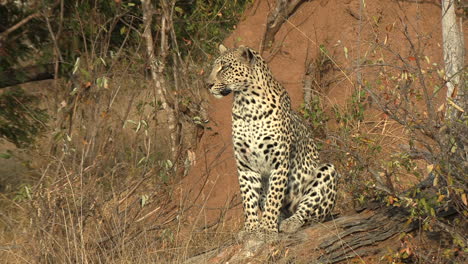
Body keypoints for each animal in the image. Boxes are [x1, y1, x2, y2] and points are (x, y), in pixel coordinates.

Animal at [206, 44, 336, 240]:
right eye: (215, 67)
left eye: (225, 67)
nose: (208, 84)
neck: (247, 105)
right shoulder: (246, 165)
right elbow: (248, 200)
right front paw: (251, 229)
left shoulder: (279, 162)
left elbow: (274, 197)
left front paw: (267, 229)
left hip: (327, 171)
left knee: (309, 213)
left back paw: (289, 223)